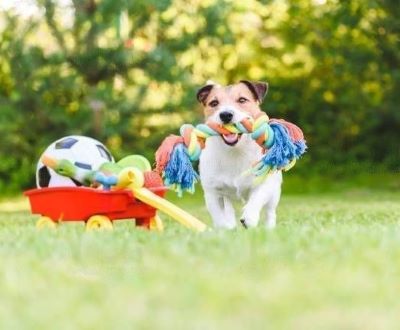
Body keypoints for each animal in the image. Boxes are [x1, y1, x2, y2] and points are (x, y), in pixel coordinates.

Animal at [196, 80, 282, 229]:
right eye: (214, 103)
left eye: (242, 100)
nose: (225, 115)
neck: (235, 151)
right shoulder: (213, 192)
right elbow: (219, 217)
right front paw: (224, 229)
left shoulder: (264, 183)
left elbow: (256, 198)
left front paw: (249, 218)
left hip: (274, 193)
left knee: (270, 212)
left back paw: (269, 227)